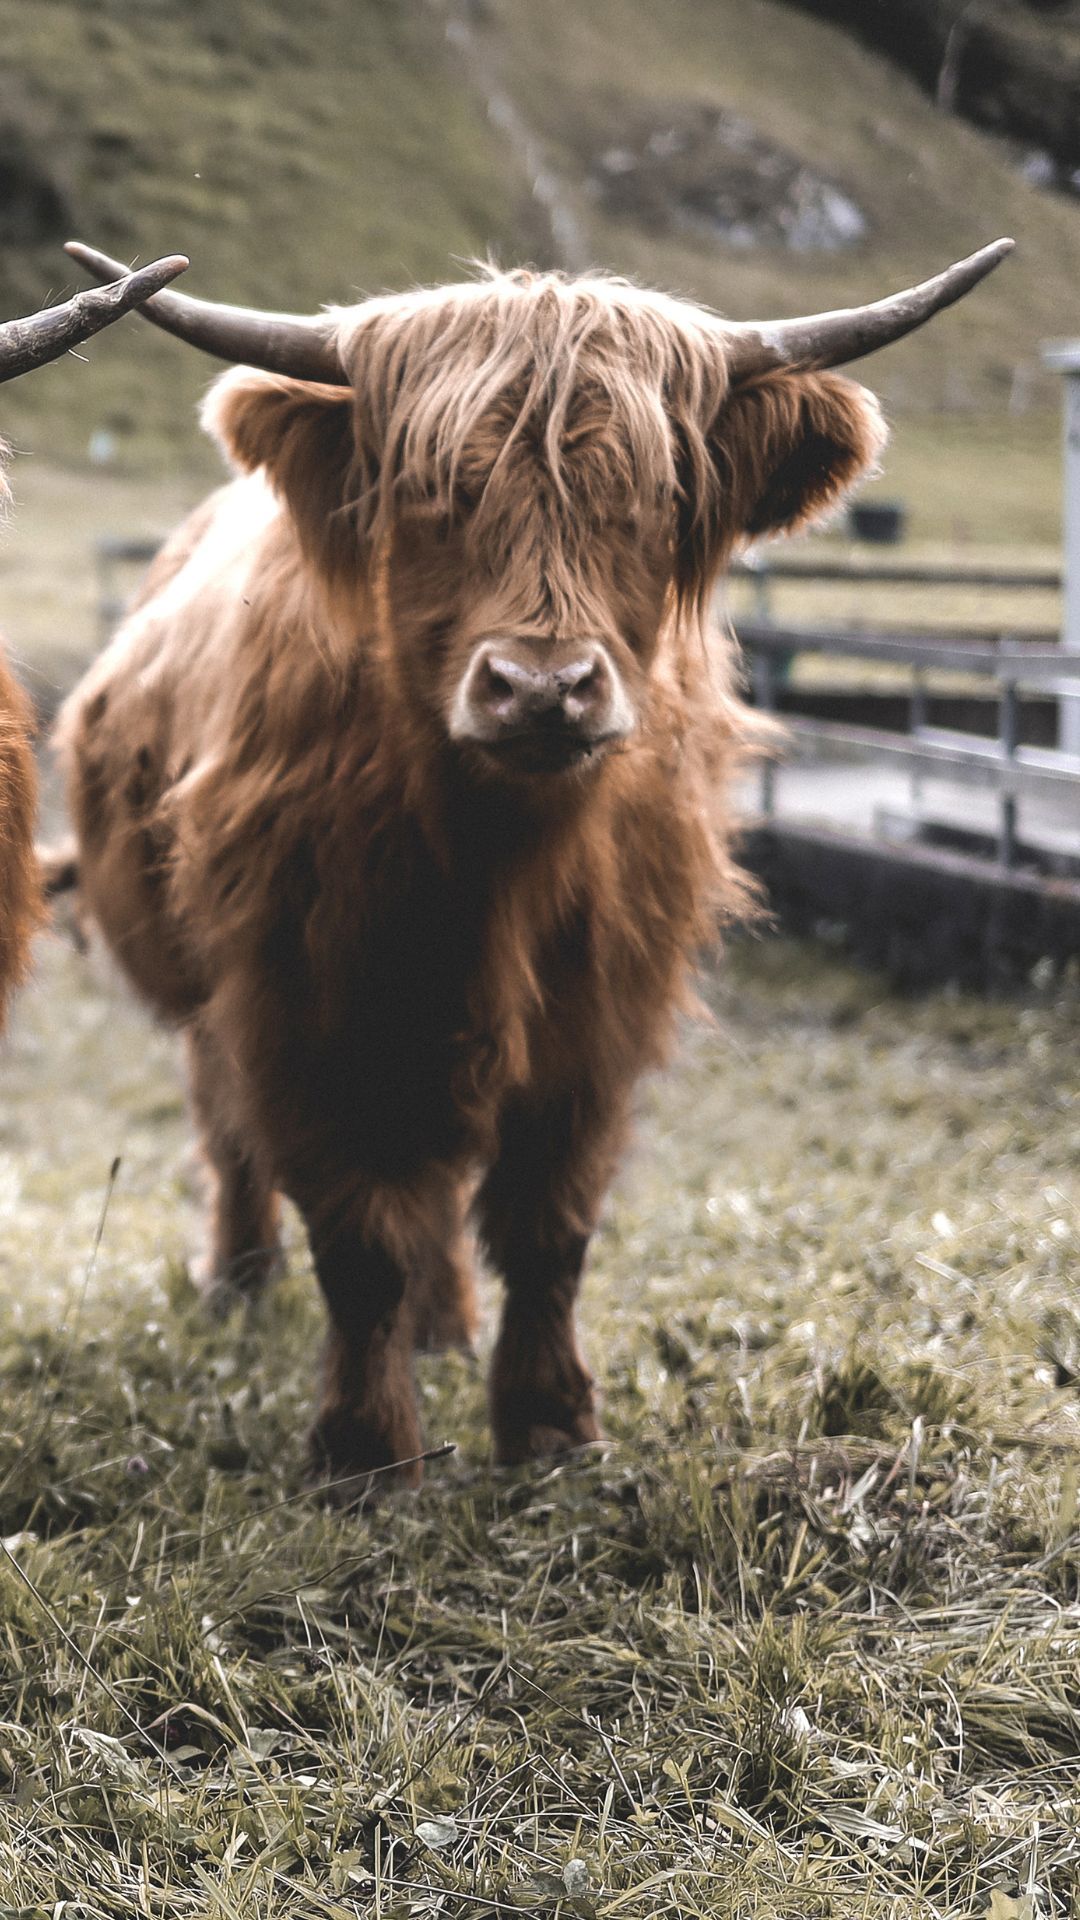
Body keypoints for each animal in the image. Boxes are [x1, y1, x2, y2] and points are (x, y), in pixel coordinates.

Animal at [54, 237, 1011, 1490]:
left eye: (654, 501)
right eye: (431, 496)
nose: (545, 688)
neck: (495, 862)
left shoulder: (598, 1016)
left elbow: (548, 1224)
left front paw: (552, 1426)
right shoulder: (305, 1003)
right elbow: (358, 1237)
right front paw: (367, 1453)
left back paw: (444, 1327)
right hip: (213, 998)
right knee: (235, 1132)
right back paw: (241, 1284)